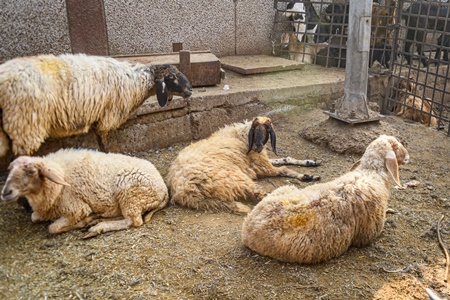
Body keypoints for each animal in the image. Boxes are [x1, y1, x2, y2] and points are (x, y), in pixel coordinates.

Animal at [0, 53, 192, 157]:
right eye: (172, 77)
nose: (190, 90)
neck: (136, 81)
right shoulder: (106, 116)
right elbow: (103, 143)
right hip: (25, 125)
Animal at [0, 148, 169, 239]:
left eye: (31, 171)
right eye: (10, 169)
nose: (5, 192)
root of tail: (164, 188)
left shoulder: (76, 209)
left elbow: (52, 228)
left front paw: (85, 222)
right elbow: (34, 217)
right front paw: (90, 220)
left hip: (130, 194)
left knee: (133, 221)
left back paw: (97, 228)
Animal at [167, 116, 322, 214]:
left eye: (267, 128)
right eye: (254, 128)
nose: (258, 147)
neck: (242, 135)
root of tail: (186, 192)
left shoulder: (260, 162)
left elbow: (284, 159)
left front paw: (311, 162)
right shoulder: (262, 166)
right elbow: (284, 168)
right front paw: (307, 176)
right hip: (234, 177)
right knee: (259, 194)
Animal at [241, 135, 410, 264]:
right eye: (397, 146)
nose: (408, 157)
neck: (370, 173)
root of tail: (247, 227)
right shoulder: (369, 233)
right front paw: (390, 211)